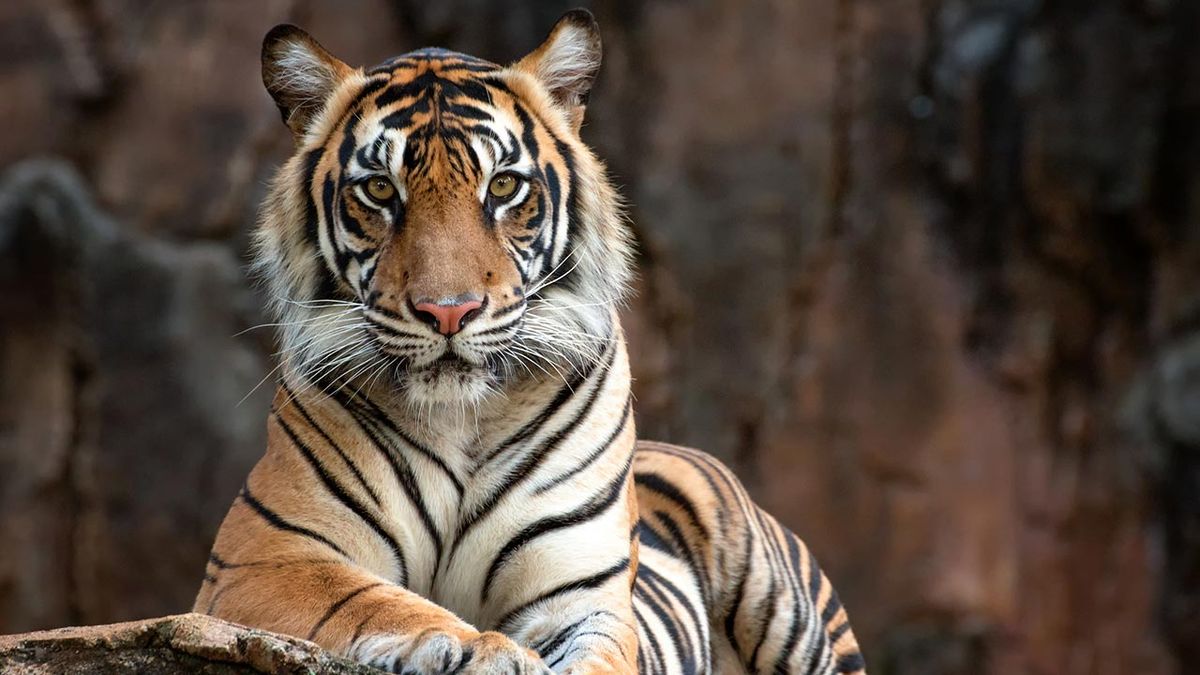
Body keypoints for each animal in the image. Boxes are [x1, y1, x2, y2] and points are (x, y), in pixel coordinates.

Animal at [194, 9, 866, 675]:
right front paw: (478, 647)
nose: (449, 312)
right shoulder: (268, 557)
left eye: (502, 187)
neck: (461, 417)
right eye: (381, 190)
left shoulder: (583, 593)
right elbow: (375, 600)